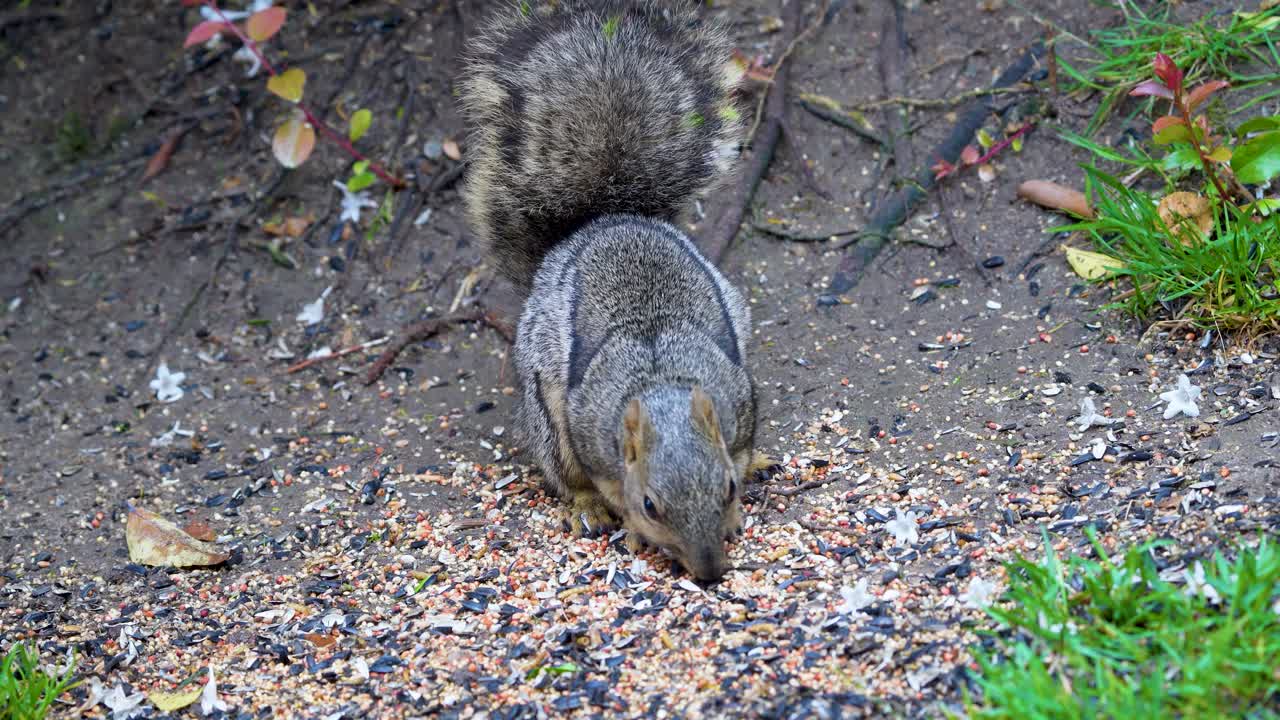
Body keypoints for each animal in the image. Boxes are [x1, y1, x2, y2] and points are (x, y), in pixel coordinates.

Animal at [459, 0, 766, 582]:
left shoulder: (737, 407)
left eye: (728, 488)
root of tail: (604, 221)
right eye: (650, 504)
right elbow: (604, 484)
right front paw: (629, 527)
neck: (660, 383)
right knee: (564, 473)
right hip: (548, 415)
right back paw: (584, 509)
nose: (709, 571)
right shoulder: (592, 434)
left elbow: (740, 448)